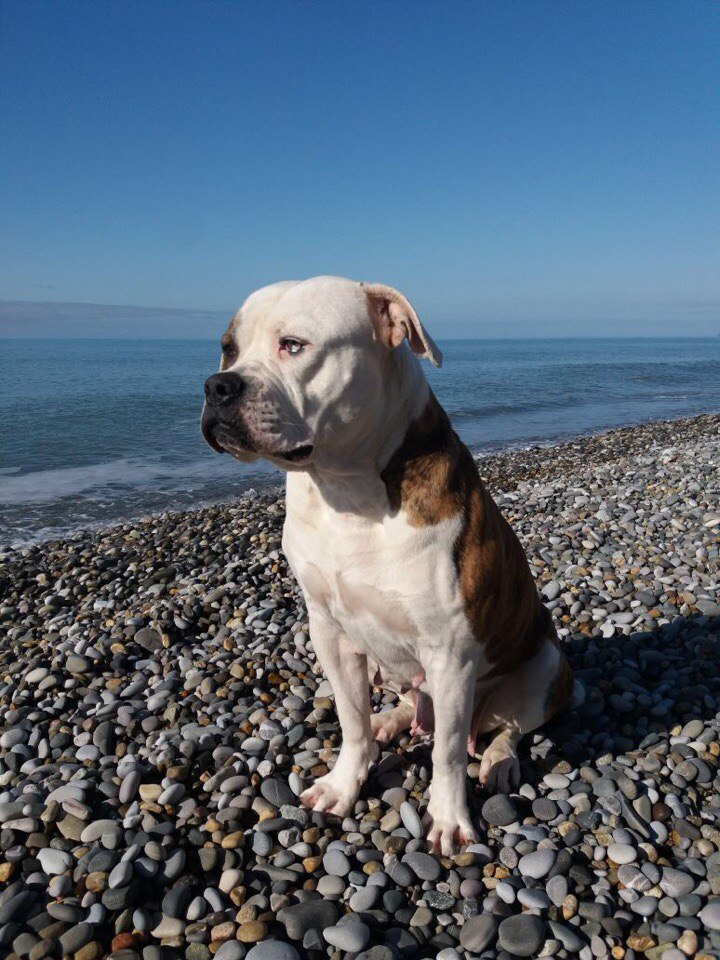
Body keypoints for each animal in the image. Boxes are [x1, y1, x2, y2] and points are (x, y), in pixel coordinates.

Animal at [200, 278, 572, 856]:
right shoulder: (329, 631)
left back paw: (498, 761)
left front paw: (449, 817)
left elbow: (447, 753)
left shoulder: (451, 656)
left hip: (546, 667)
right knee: (414, 705)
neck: (345, 490)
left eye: (294, 345)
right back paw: (391, 721)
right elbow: (349, 718)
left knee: (507, 727)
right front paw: (343, 783)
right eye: (228, 348)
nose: (218, 386)